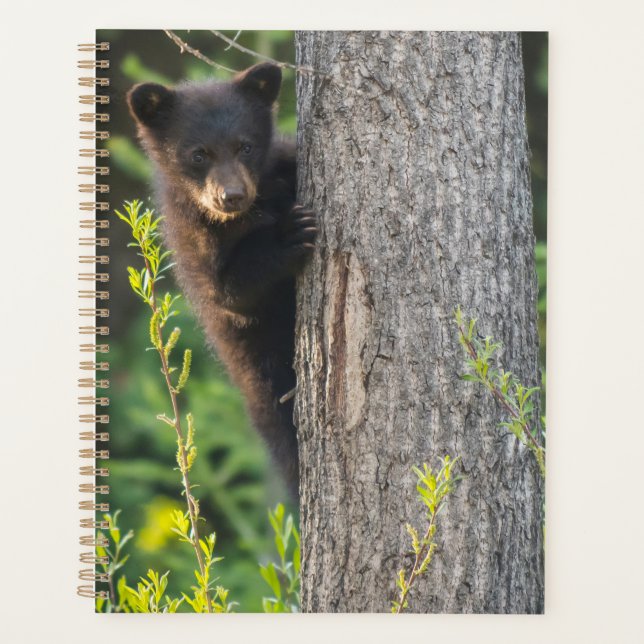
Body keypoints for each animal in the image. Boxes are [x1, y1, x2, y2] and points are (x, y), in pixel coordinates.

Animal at [127, 63, 316, 499]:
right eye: (199, 154)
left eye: (245, 146)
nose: (232, 196)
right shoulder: (192, 242)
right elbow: (231, 291)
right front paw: (290, 233)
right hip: (260, 375)